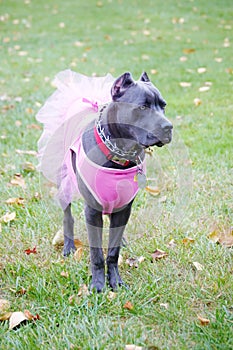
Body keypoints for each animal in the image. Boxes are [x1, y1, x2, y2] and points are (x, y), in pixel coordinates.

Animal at [62, 72, 173, 292]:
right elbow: (97, 253)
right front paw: (98, 285)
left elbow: (113, 251)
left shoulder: (124, 207)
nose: (168, 127)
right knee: (67, 215)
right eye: (142, 107)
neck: (119, 152)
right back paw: (69, 246)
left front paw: (115, 281)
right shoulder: (92, 210)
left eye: (163, 106)